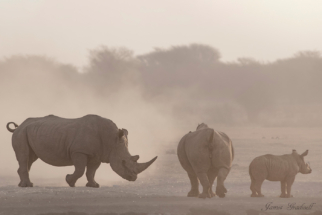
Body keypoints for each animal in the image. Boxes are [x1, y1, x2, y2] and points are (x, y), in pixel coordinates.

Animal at [6, 115, 158, 187]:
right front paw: (69, 181)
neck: (111, 140)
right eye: (123, 162)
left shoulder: (97, 154)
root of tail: (20, 125)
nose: (133, 178)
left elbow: (91, 171)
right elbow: (79, 169)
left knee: (29, 159)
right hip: (21, 133)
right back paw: (27, 186)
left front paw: (94, 186)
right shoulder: (79, 151)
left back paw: (23, 185)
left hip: (29, 132)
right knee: (24, 157)